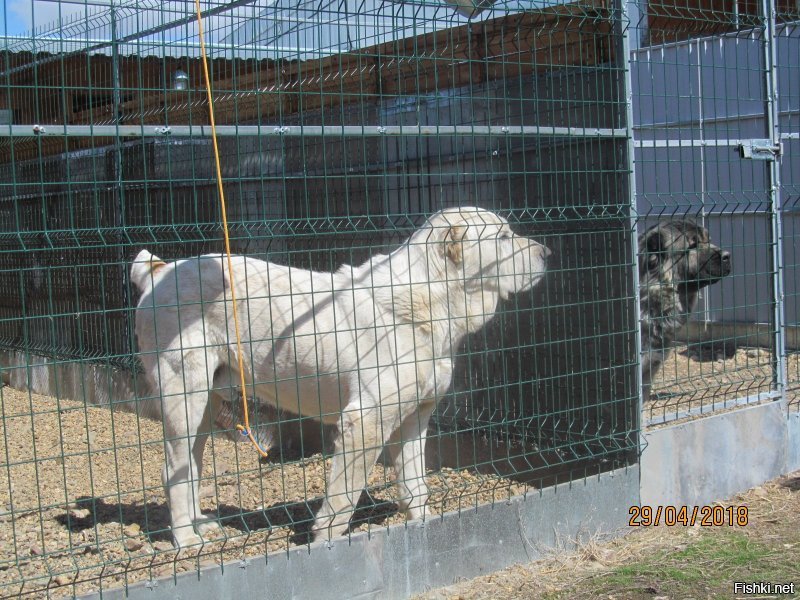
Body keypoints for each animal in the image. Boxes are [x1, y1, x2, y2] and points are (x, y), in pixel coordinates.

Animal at [131, 207, 552, 548]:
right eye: (503, 238)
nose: (547, 253)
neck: (434, 297)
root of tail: (163, 271)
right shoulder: (365, 422)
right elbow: (345, 495)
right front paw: (325, 541)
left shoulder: (414, 418)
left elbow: (414, 486)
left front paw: (425, 526)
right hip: (184, 395)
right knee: (173, 469)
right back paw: (187, 539)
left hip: (204, 404)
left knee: (190, 465)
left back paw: (201, 524)